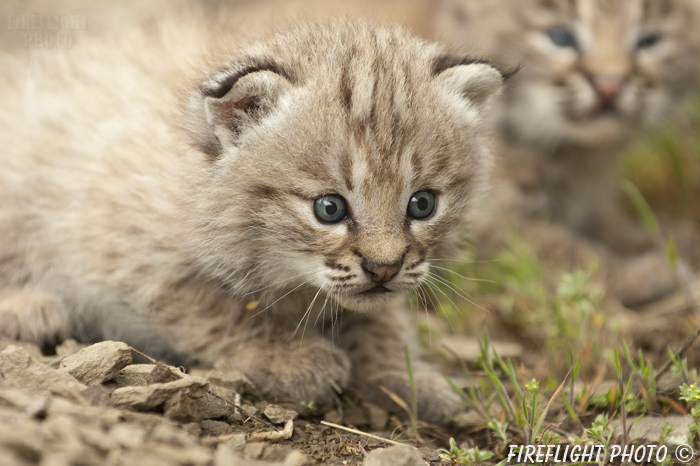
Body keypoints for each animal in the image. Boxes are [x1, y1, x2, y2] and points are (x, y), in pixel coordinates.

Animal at [0, 13, 506, 422]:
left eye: (422, 204)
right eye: (329, 208)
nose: (384, 268)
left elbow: (382, 321)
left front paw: (409, 376)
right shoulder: (118, 251)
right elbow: (218, 309)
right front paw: (295, 358)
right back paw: (30, 307)